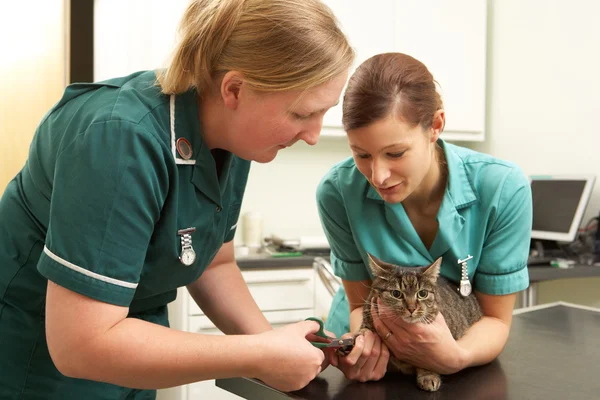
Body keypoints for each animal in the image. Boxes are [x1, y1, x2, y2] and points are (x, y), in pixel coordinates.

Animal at [356, 255, 482, 392]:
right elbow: (365, 329)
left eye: (422, 293)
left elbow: (429, 359)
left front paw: (428, 375)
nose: (411, 308)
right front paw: (360, 336)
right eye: (396, 293)